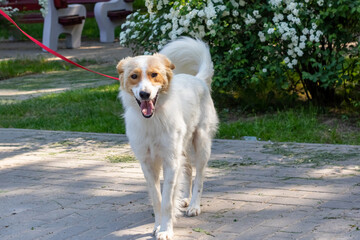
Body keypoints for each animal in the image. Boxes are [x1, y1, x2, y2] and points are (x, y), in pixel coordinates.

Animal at [118, 37, 218, 240]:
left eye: (154, 74)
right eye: (134, 76)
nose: (145, 94)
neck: (152, 120)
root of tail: (197, 79)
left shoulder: (170, 161)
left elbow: (167, 201)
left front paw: (166, 229)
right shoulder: (147, 163)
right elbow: (157, 199)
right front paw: (158, 226)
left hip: (201, 144)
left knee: (199, 176)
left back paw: (194, 205)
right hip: (183, 148)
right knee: (188, 169)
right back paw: (186, 199)